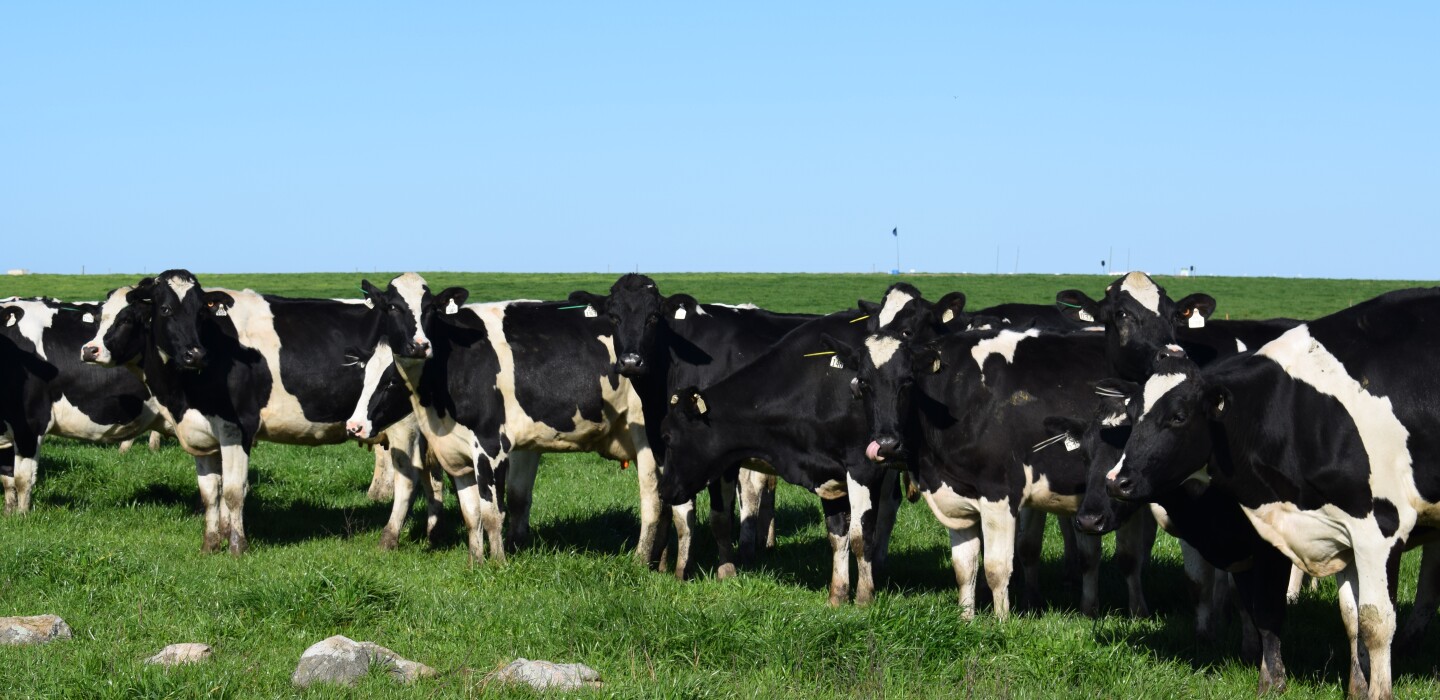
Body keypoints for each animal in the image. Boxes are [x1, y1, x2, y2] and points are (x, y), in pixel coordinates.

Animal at [79, 271, 434, 554]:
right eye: (165, 309)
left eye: (200, 313)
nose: (195, 354)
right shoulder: (202, 433)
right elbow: (210, 493)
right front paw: (211, 544)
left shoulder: (237, 428)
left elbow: (234, 491)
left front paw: (237, 546)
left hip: (404, 425)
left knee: (408, 480)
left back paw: (389, 538)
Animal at [342, 292, 671, 568]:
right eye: (365, 376)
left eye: (391, 381)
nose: (354, 426)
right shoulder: (467, 452)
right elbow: (480, 511)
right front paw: (477, 562)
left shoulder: (490, 447)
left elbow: (492, 513)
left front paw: (498, 563)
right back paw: (662, 562)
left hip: (647, 441)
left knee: (653, 502)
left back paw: (641, 560)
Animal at [566, 273, 820, 578]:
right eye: (614, 317)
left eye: (653, 317)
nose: (631, 362)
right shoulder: (663, 447)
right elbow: (677, 510)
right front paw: (672, 569)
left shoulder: (724, 454)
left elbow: (719, 517)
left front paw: (726, 571)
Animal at [1105, 287, 1440, 699]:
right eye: (1132, 413)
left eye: (1178, 417)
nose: (1117, 481)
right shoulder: (1330, 530)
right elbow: (1346, 618)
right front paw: (1351, 687)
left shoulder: (1379, 530)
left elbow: (1375, 623)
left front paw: (1377, 692)